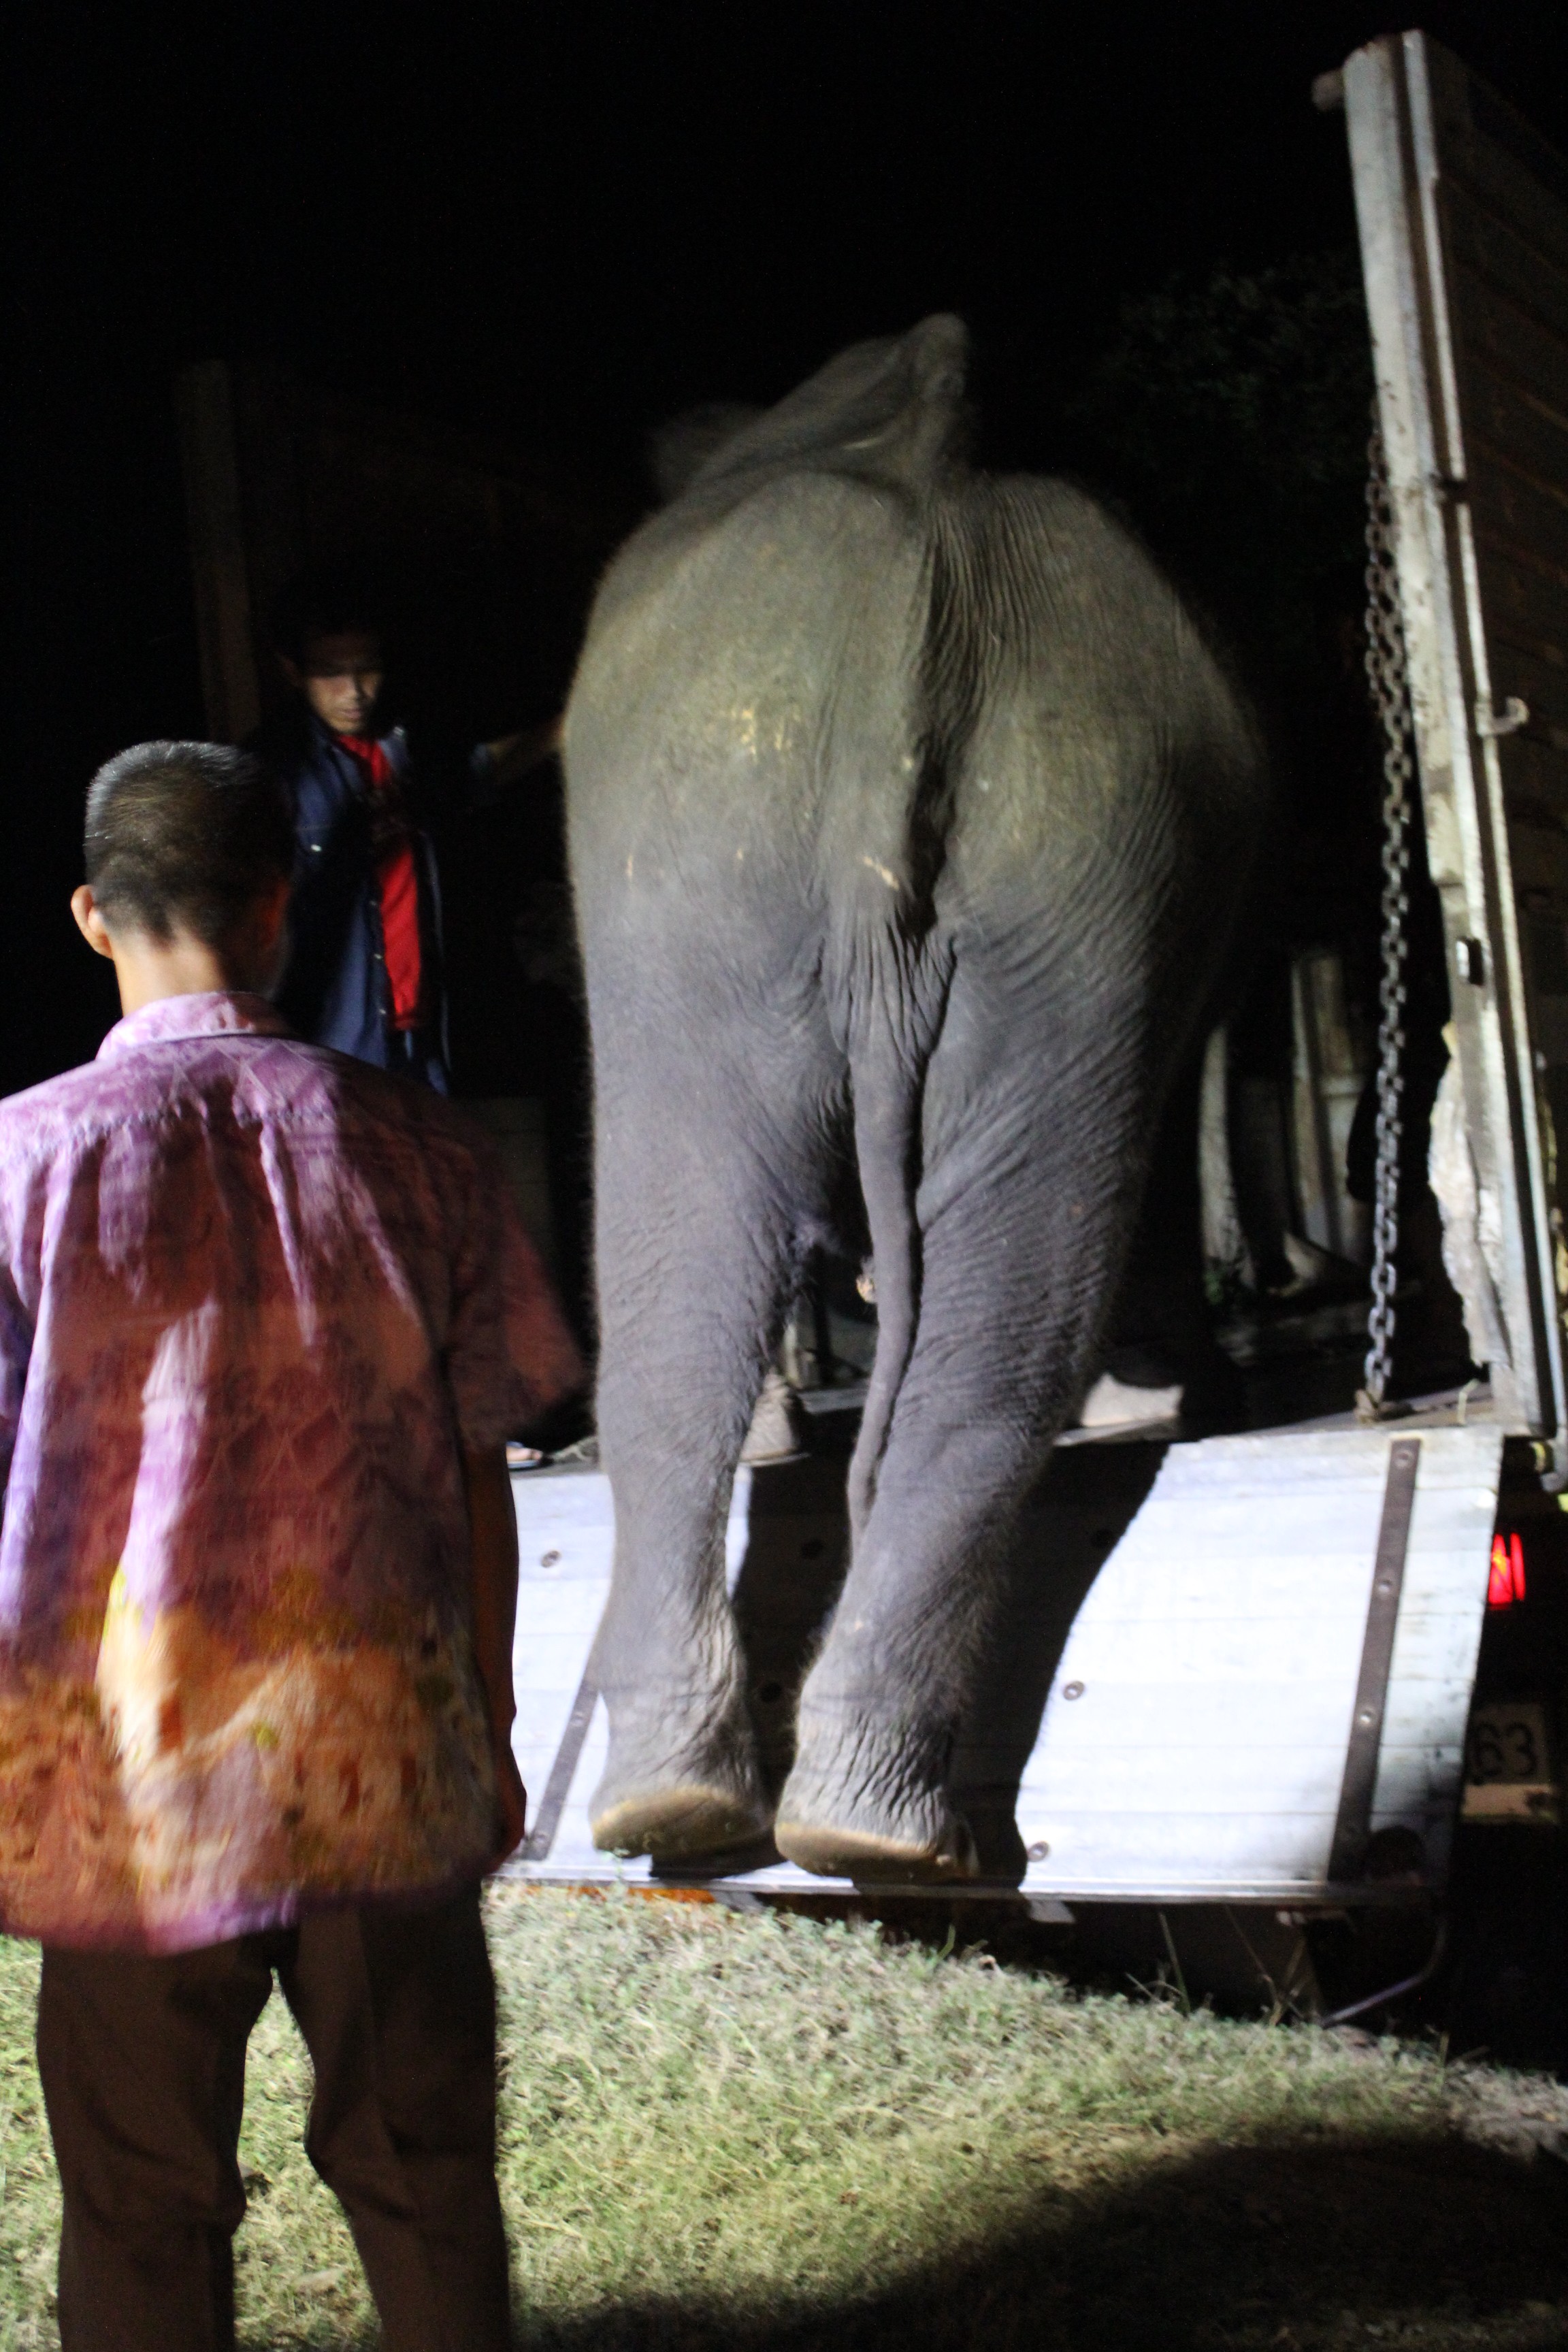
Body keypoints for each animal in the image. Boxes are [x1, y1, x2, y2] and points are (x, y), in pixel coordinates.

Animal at [562, 313, 1265, 1880]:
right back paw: (800, 1820)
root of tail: (923, 606)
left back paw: (744, 1819)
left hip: (901, 845)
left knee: (709, 1291)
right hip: (1056, 846)